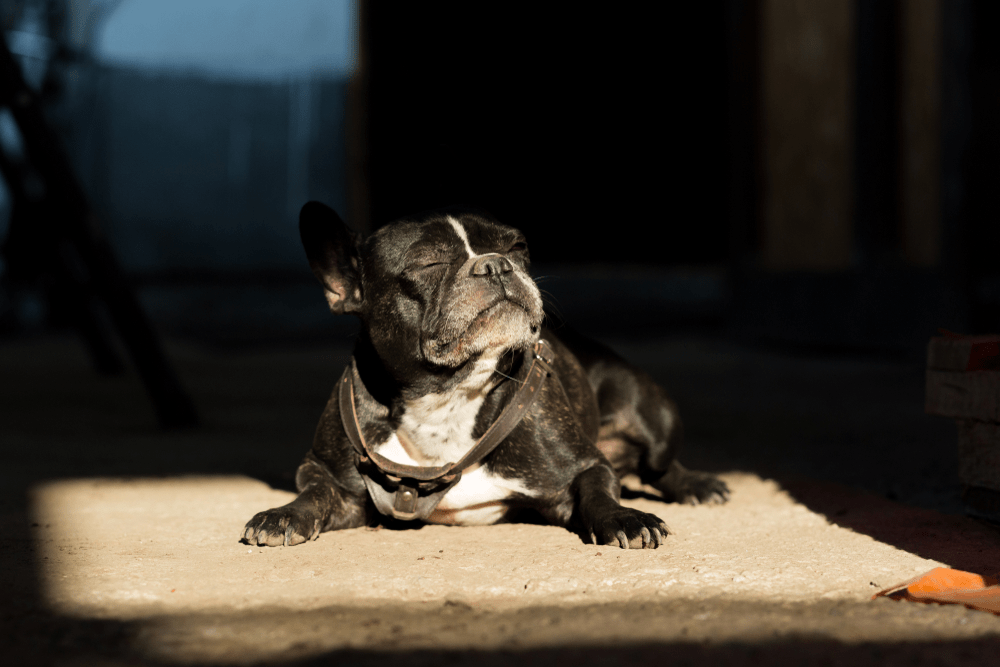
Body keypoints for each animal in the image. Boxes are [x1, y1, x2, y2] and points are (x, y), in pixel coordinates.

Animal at [242, 204, 728, 548]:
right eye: (428, 264)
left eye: (518, 248)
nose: (495, 264)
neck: (447, 395)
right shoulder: (331, 479)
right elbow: (314, 493)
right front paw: (285, 513)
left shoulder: (584, 465)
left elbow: (600, 489)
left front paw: (624, 517)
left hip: (654, 417)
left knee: (659, 466)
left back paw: (698, 484)